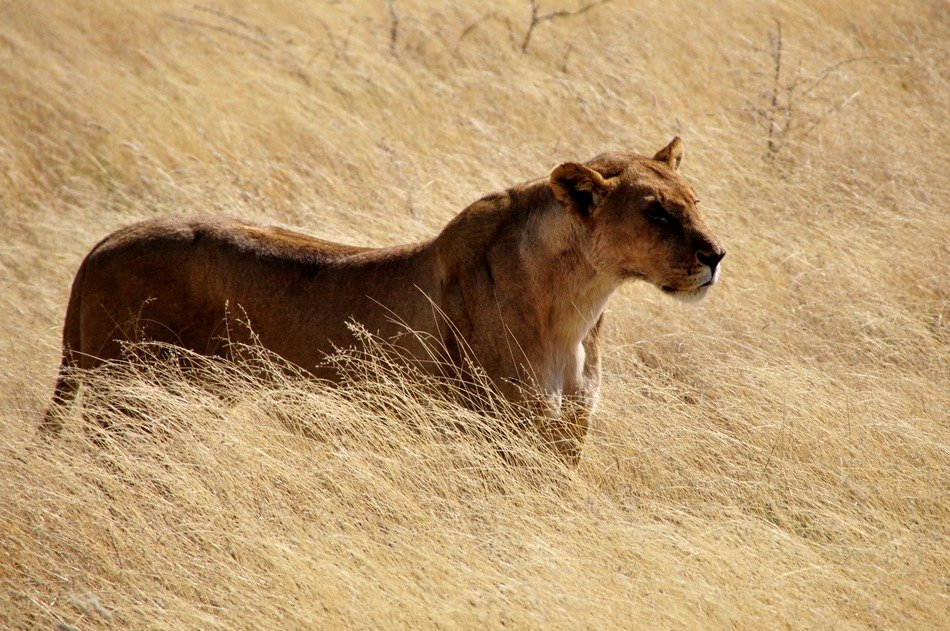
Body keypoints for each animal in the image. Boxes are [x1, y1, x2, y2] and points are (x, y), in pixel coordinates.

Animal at [44, 137, 724, 464]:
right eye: (656, 213)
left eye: (693, 201)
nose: (717, 255)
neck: (578, 306)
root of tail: (102, 244)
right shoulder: (497, 429)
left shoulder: (568, 432)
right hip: (125, 402)